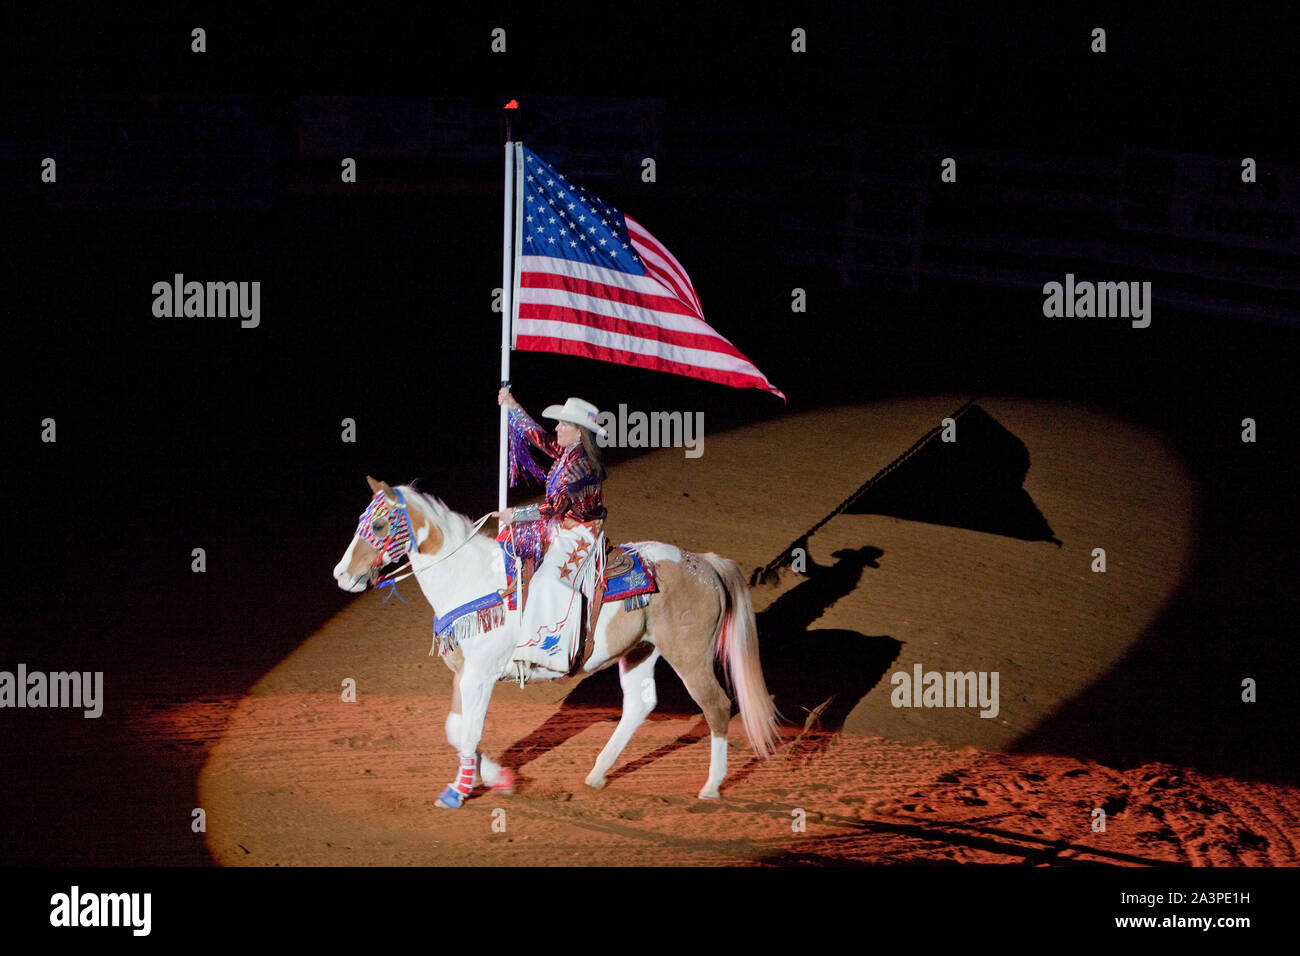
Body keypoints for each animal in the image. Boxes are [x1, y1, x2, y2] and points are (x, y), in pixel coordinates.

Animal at [335, 476, 780, 806]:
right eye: (361, 519)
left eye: (378, 525)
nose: (342, 574)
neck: (472, 577)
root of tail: (703, 562)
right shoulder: (463, 675)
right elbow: (456, 728)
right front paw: (497, 778)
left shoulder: (480, 676)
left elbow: (468, 732)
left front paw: (459, 792)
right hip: (641, 650)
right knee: (640, 704)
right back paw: (597, 774)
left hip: (689, 655)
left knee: (716, 706)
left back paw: (711, 787)